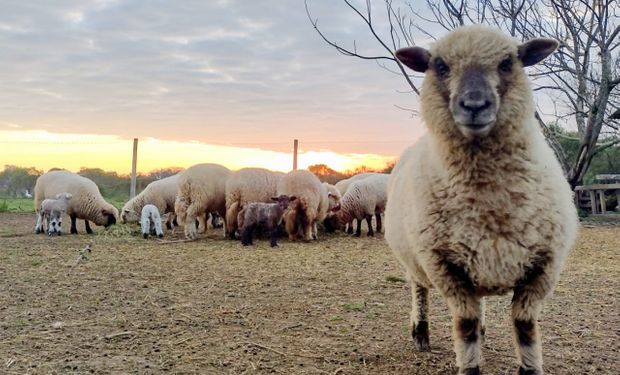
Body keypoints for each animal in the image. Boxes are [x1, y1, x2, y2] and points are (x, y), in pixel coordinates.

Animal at [386, 26, 580, 375]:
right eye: (440, 66)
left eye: (507, 63)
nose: (474, 104)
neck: (491, 206)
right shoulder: (445, 267)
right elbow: (466, 325)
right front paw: (469, 363)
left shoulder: (543, 268)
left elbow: (525, 327)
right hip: (415, 263)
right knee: (419, 291)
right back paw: (420, 333)